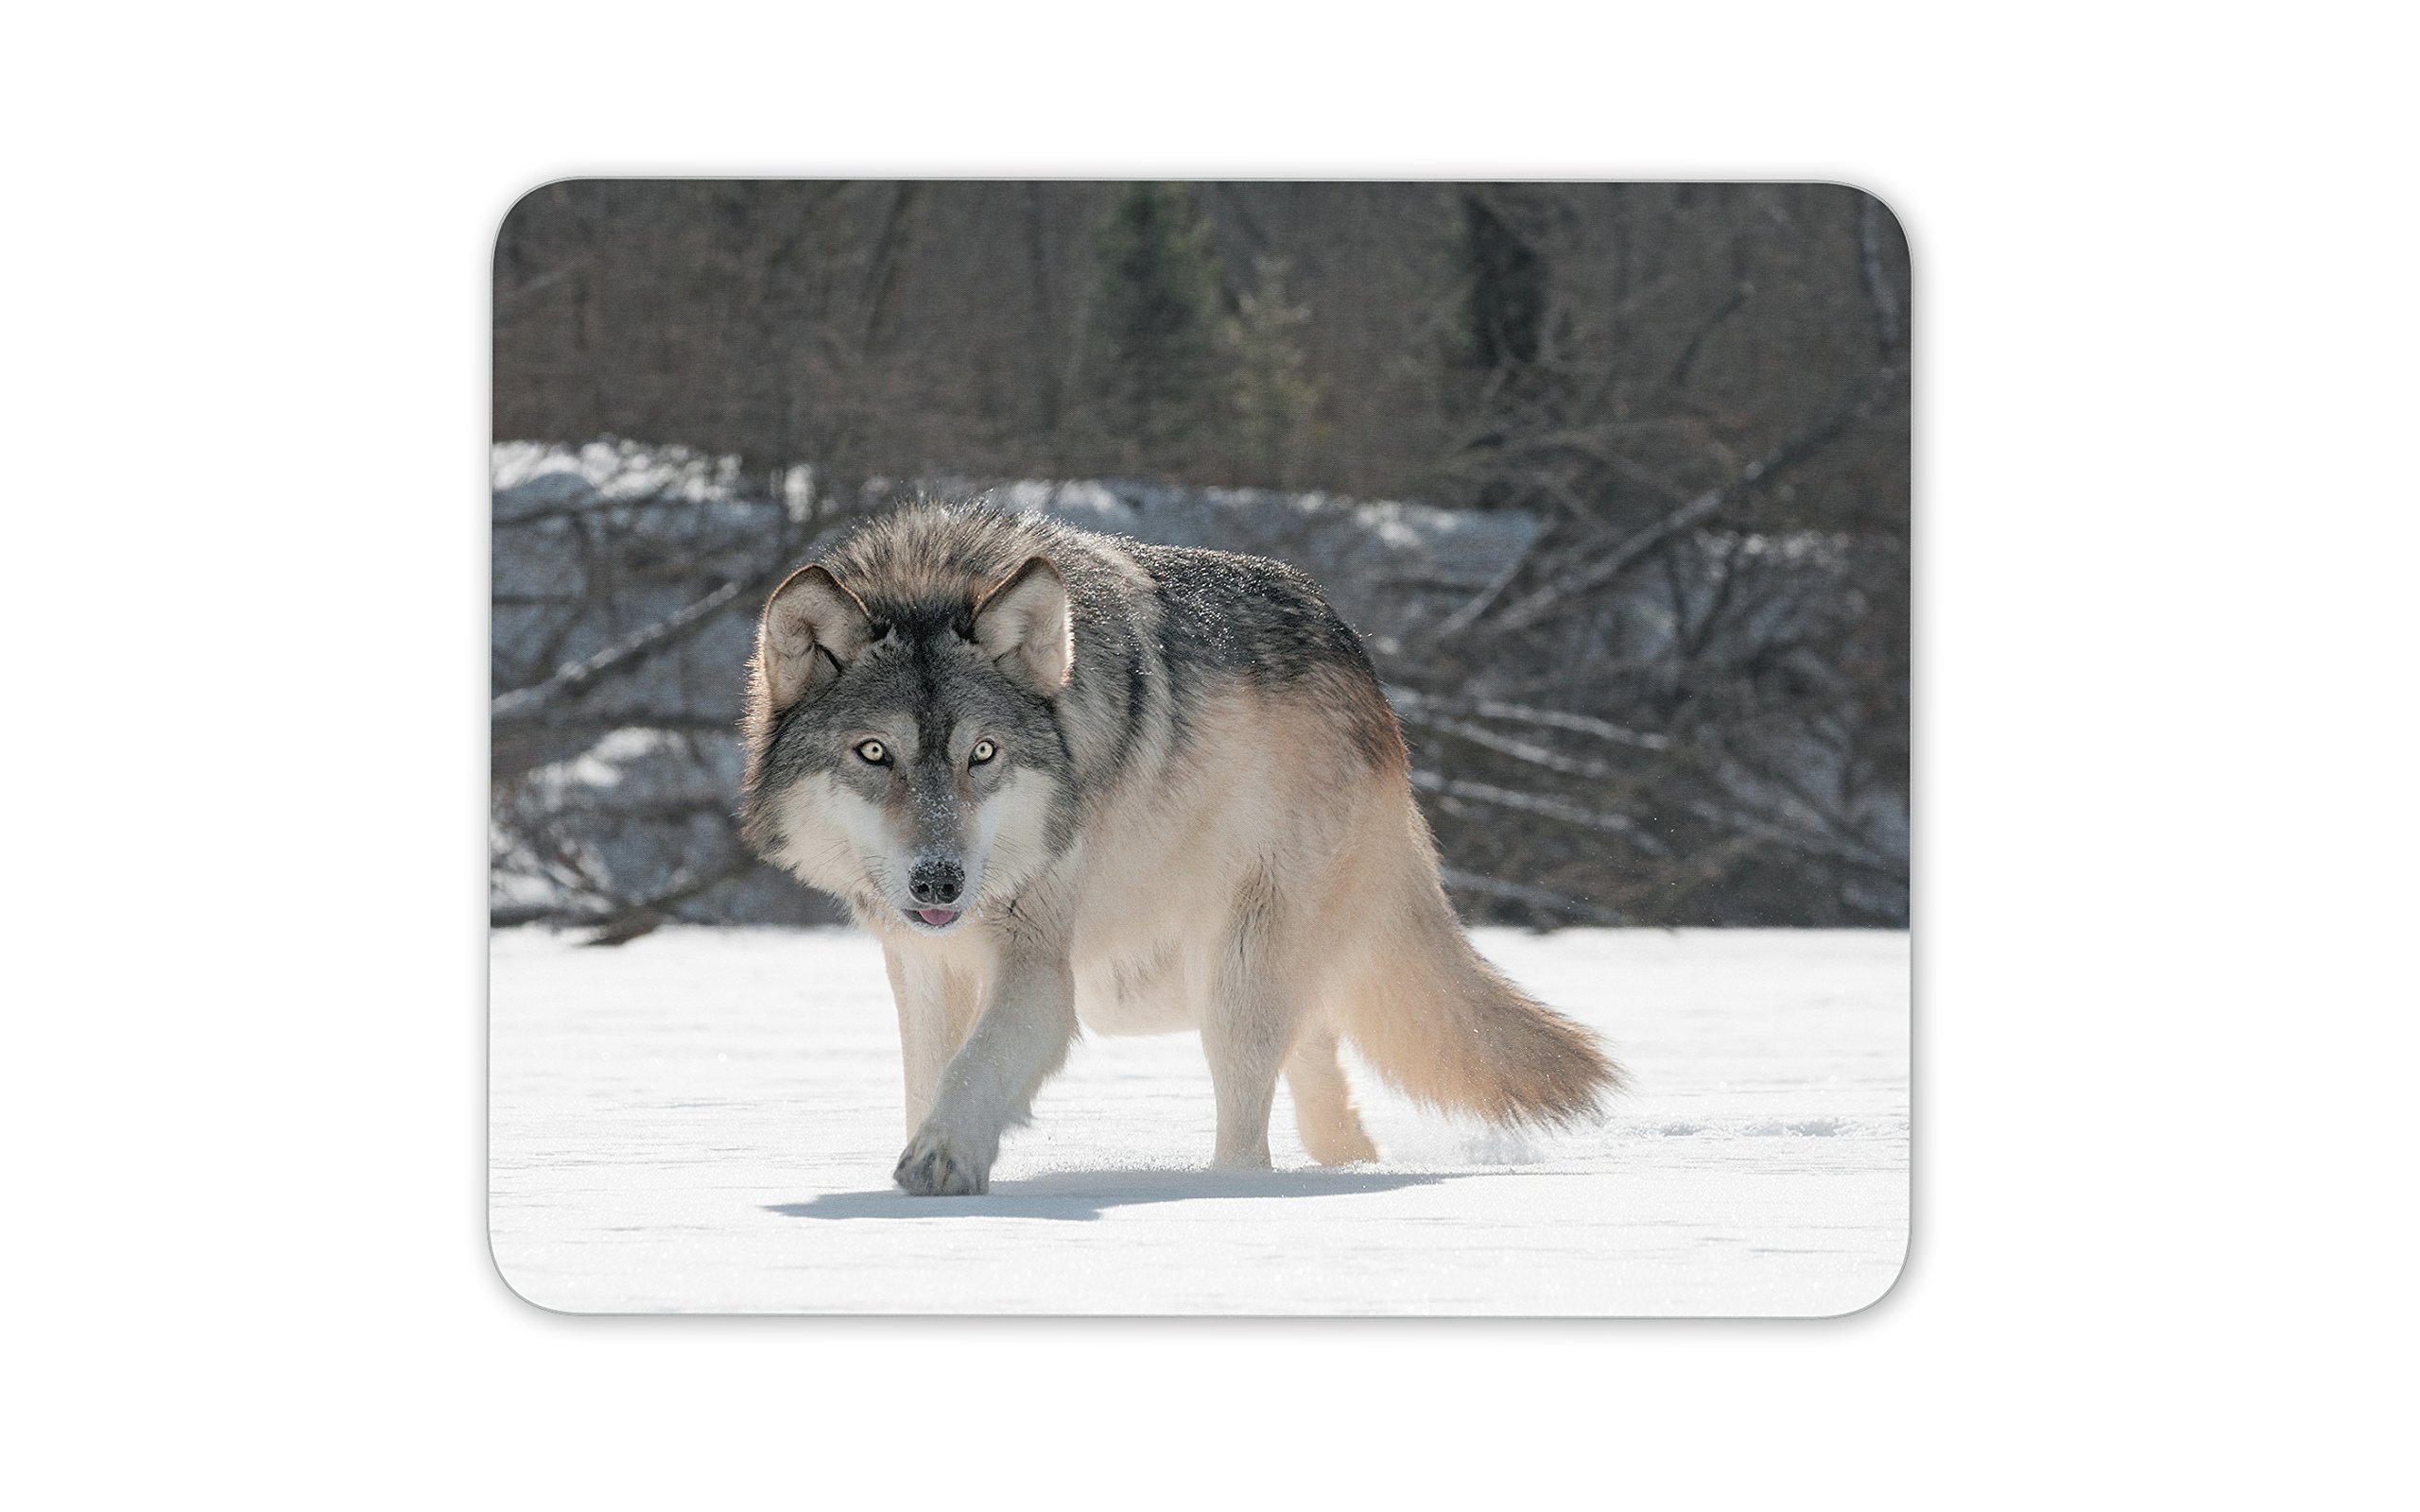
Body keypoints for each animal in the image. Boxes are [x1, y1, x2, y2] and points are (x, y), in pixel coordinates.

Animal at [739, 504, 1622, 1195]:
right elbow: (931, 1074)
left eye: (982, 754)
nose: (940, 882)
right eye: (874, 754)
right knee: (1322, 1082)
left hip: (1227, 978)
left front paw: (942, 1158)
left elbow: (975, 1067)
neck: (932, 574)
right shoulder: (924, 966)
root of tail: (1373, 686)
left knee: (1251, 1137)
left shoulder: (1038, 970)